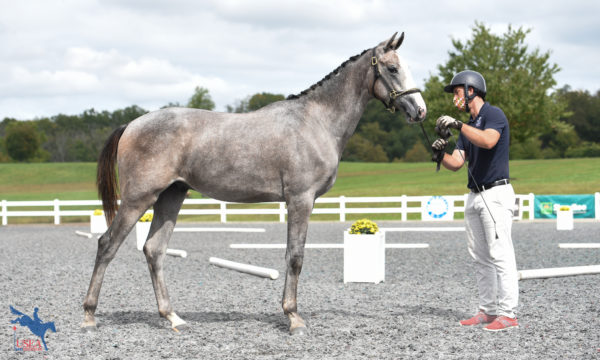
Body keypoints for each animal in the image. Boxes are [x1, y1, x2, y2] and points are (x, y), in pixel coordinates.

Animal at [82, 32, 426, 336]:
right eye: (392, 68)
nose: (420, 111)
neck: (316, 121)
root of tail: (131, 124)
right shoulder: (301, 199)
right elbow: (295, 257)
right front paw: (293, 318)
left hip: (171, 196)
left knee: (154, 250)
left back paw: (173, 317)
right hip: (138, 198)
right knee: (107, 245)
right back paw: (89, 316)